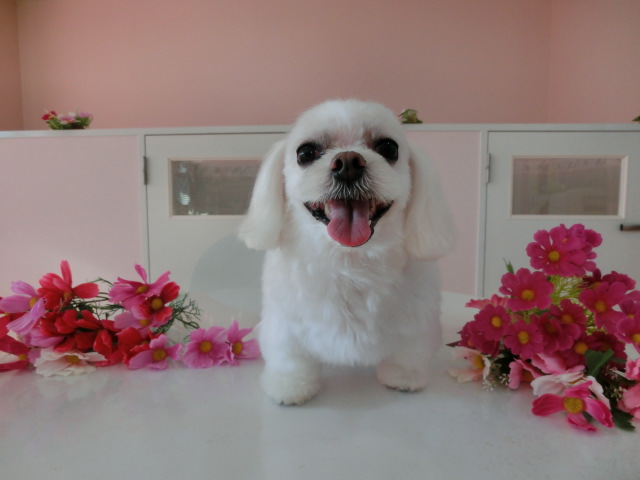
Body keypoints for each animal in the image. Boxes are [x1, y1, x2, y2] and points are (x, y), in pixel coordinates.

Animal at [239, 99, 453, 405]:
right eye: (305, 152)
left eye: (389, 148)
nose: (348, 162)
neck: (350, 261)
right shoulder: (285, 324)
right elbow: (291, 359)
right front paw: (290, 386)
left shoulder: (416, 321)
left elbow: (408, 352)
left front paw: (403, 377)